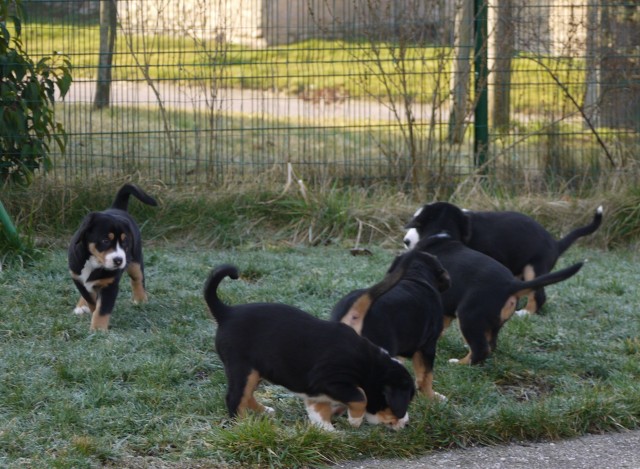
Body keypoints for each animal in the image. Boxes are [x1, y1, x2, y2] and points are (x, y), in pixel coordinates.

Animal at [68, 181, 159, 330]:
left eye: (125, 242)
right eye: (105, 240)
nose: (119, 260)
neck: (94, 262)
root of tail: (116, 208)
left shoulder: (109, 284)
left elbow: (102, 309)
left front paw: (98, 329)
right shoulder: (78, 278)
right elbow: (91, 299)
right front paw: (89, 310)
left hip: (135, 260)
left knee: (138, 279)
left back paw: (140, 300)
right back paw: (81, 306)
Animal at [201, 249, 420, 432]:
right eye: (402, 403)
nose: (406, 423)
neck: (370, 365)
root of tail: (226, 312)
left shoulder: (319, 392)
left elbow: (323, 409)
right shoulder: (331, 378)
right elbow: (360, 396)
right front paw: (355, 420)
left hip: (256, 370)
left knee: (247, 395)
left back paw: (265, 411)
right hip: (242, 368)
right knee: (235, 398)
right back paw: (242, 425)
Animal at [404, 201, 600, 314]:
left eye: (418, 225)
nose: (406, 241)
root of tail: (555, 243)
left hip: (534, 267)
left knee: (539, 295)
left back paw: (525, 313)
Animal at [412, 227, 584, 366]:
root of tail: (511, 284)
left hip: (469, 316)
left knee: (480, 349)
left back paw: (459, 363)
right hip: (493, 322)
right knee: (490, 345)